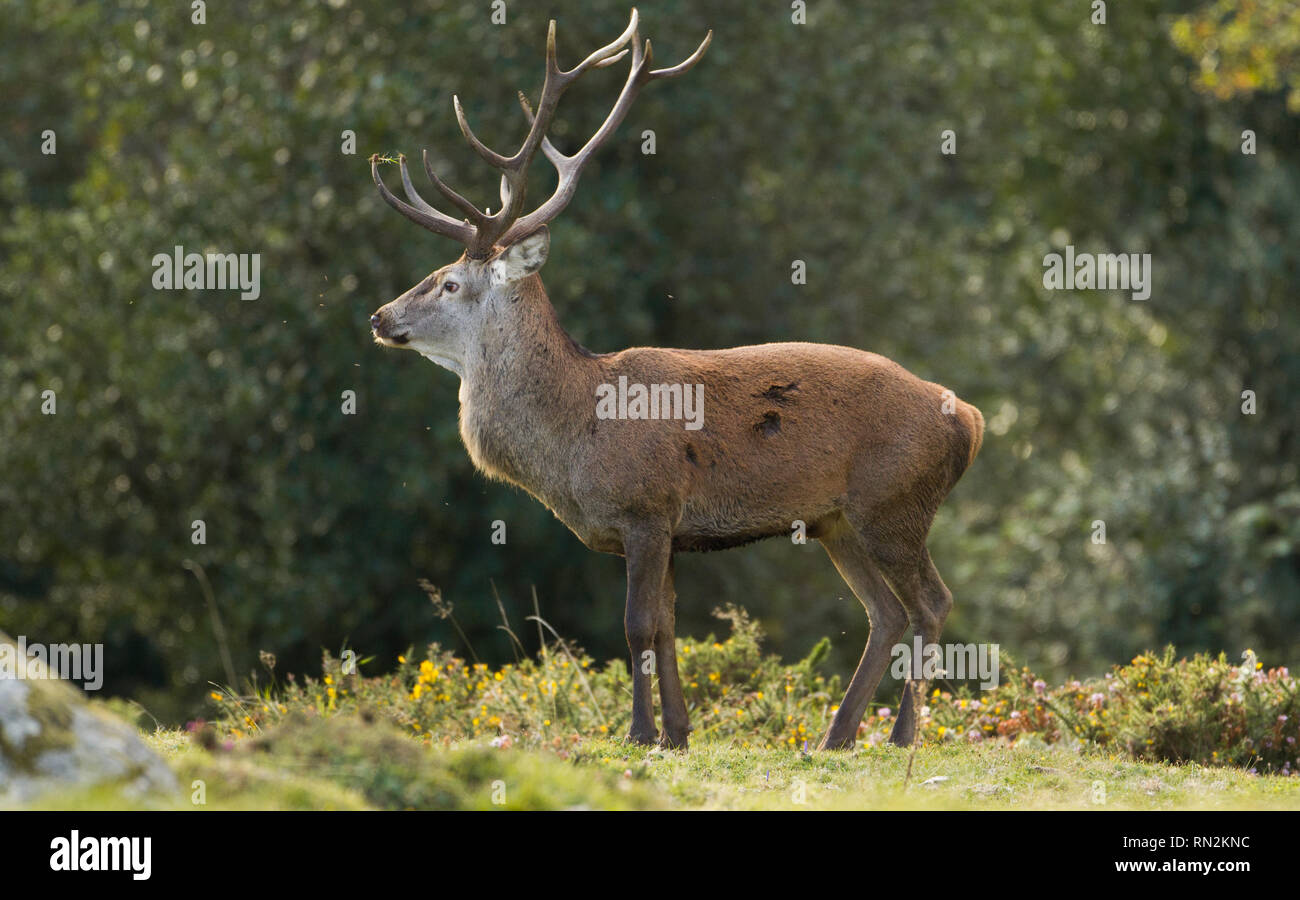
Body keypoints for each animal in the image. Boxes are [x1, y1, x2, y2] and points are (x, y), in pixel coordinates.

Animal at [369, 8, 982, 754]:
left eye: (450, 283)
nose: (379, 315)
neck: (576, 436)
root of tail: (970, 417)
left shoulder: (647, 506)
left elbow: (637, 627)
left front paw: (638, 732)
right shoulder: (664, 531)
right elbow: (665, 627)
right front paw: (677, 732)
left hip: (894, 502)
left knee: (931, 601)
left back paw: (900, 736)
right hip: (835, 520)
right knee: (885, 613)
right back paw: (835, 736)